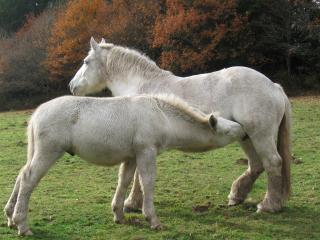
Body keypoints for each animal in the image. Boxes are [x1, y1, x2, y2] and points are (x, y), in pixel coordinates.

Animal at [3, 94, 246, 236]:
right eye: (228, 130)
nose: (244, 131)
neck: (162, 116)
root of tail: (36, 113)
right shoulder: (146, 151)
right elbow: (147, 182)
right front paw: (152, 219)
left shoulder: (130, 156)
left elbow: (125, 181)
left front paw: (118, 215)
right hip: (49, 151)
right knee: (28, 179)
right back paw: (22, 224)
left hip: (36, 151)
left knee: (21, 175)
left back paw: (10, 217)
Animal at [69, 37, 292, 214]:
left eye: (86, 62)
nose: (72, 86)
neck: (143, 86)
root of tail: (274, 86)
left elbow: (138, 176)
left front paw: (131, 203)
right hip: (246, 137)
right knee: (256, 165)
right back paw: (237, 196)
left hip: (260, 136)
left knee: (272, 163)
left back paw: (268, 206)